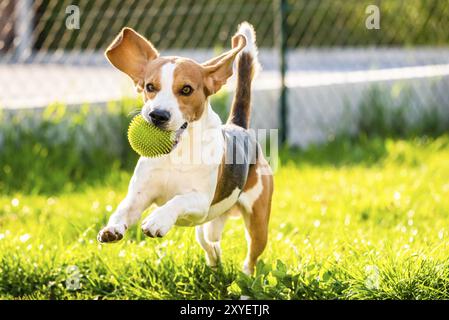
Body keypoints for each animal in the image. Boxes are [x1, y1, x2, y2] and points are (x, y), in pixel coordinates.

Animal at [97, 21, 272, 274]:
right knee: (210, 244)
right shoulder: (140, 195)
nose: (157, 115)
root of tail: (239, 127)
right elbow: (124, 208)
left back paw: (246, 277)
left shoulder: (199, 200)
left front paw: (158, 220)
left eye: (187, 89)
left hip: (258, 224)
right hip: (206, 228)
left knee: (251, 257)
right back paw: (214, 262)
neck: (175, 154)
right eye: (150, 86)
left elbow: (178, 200)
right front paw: (112, 228)